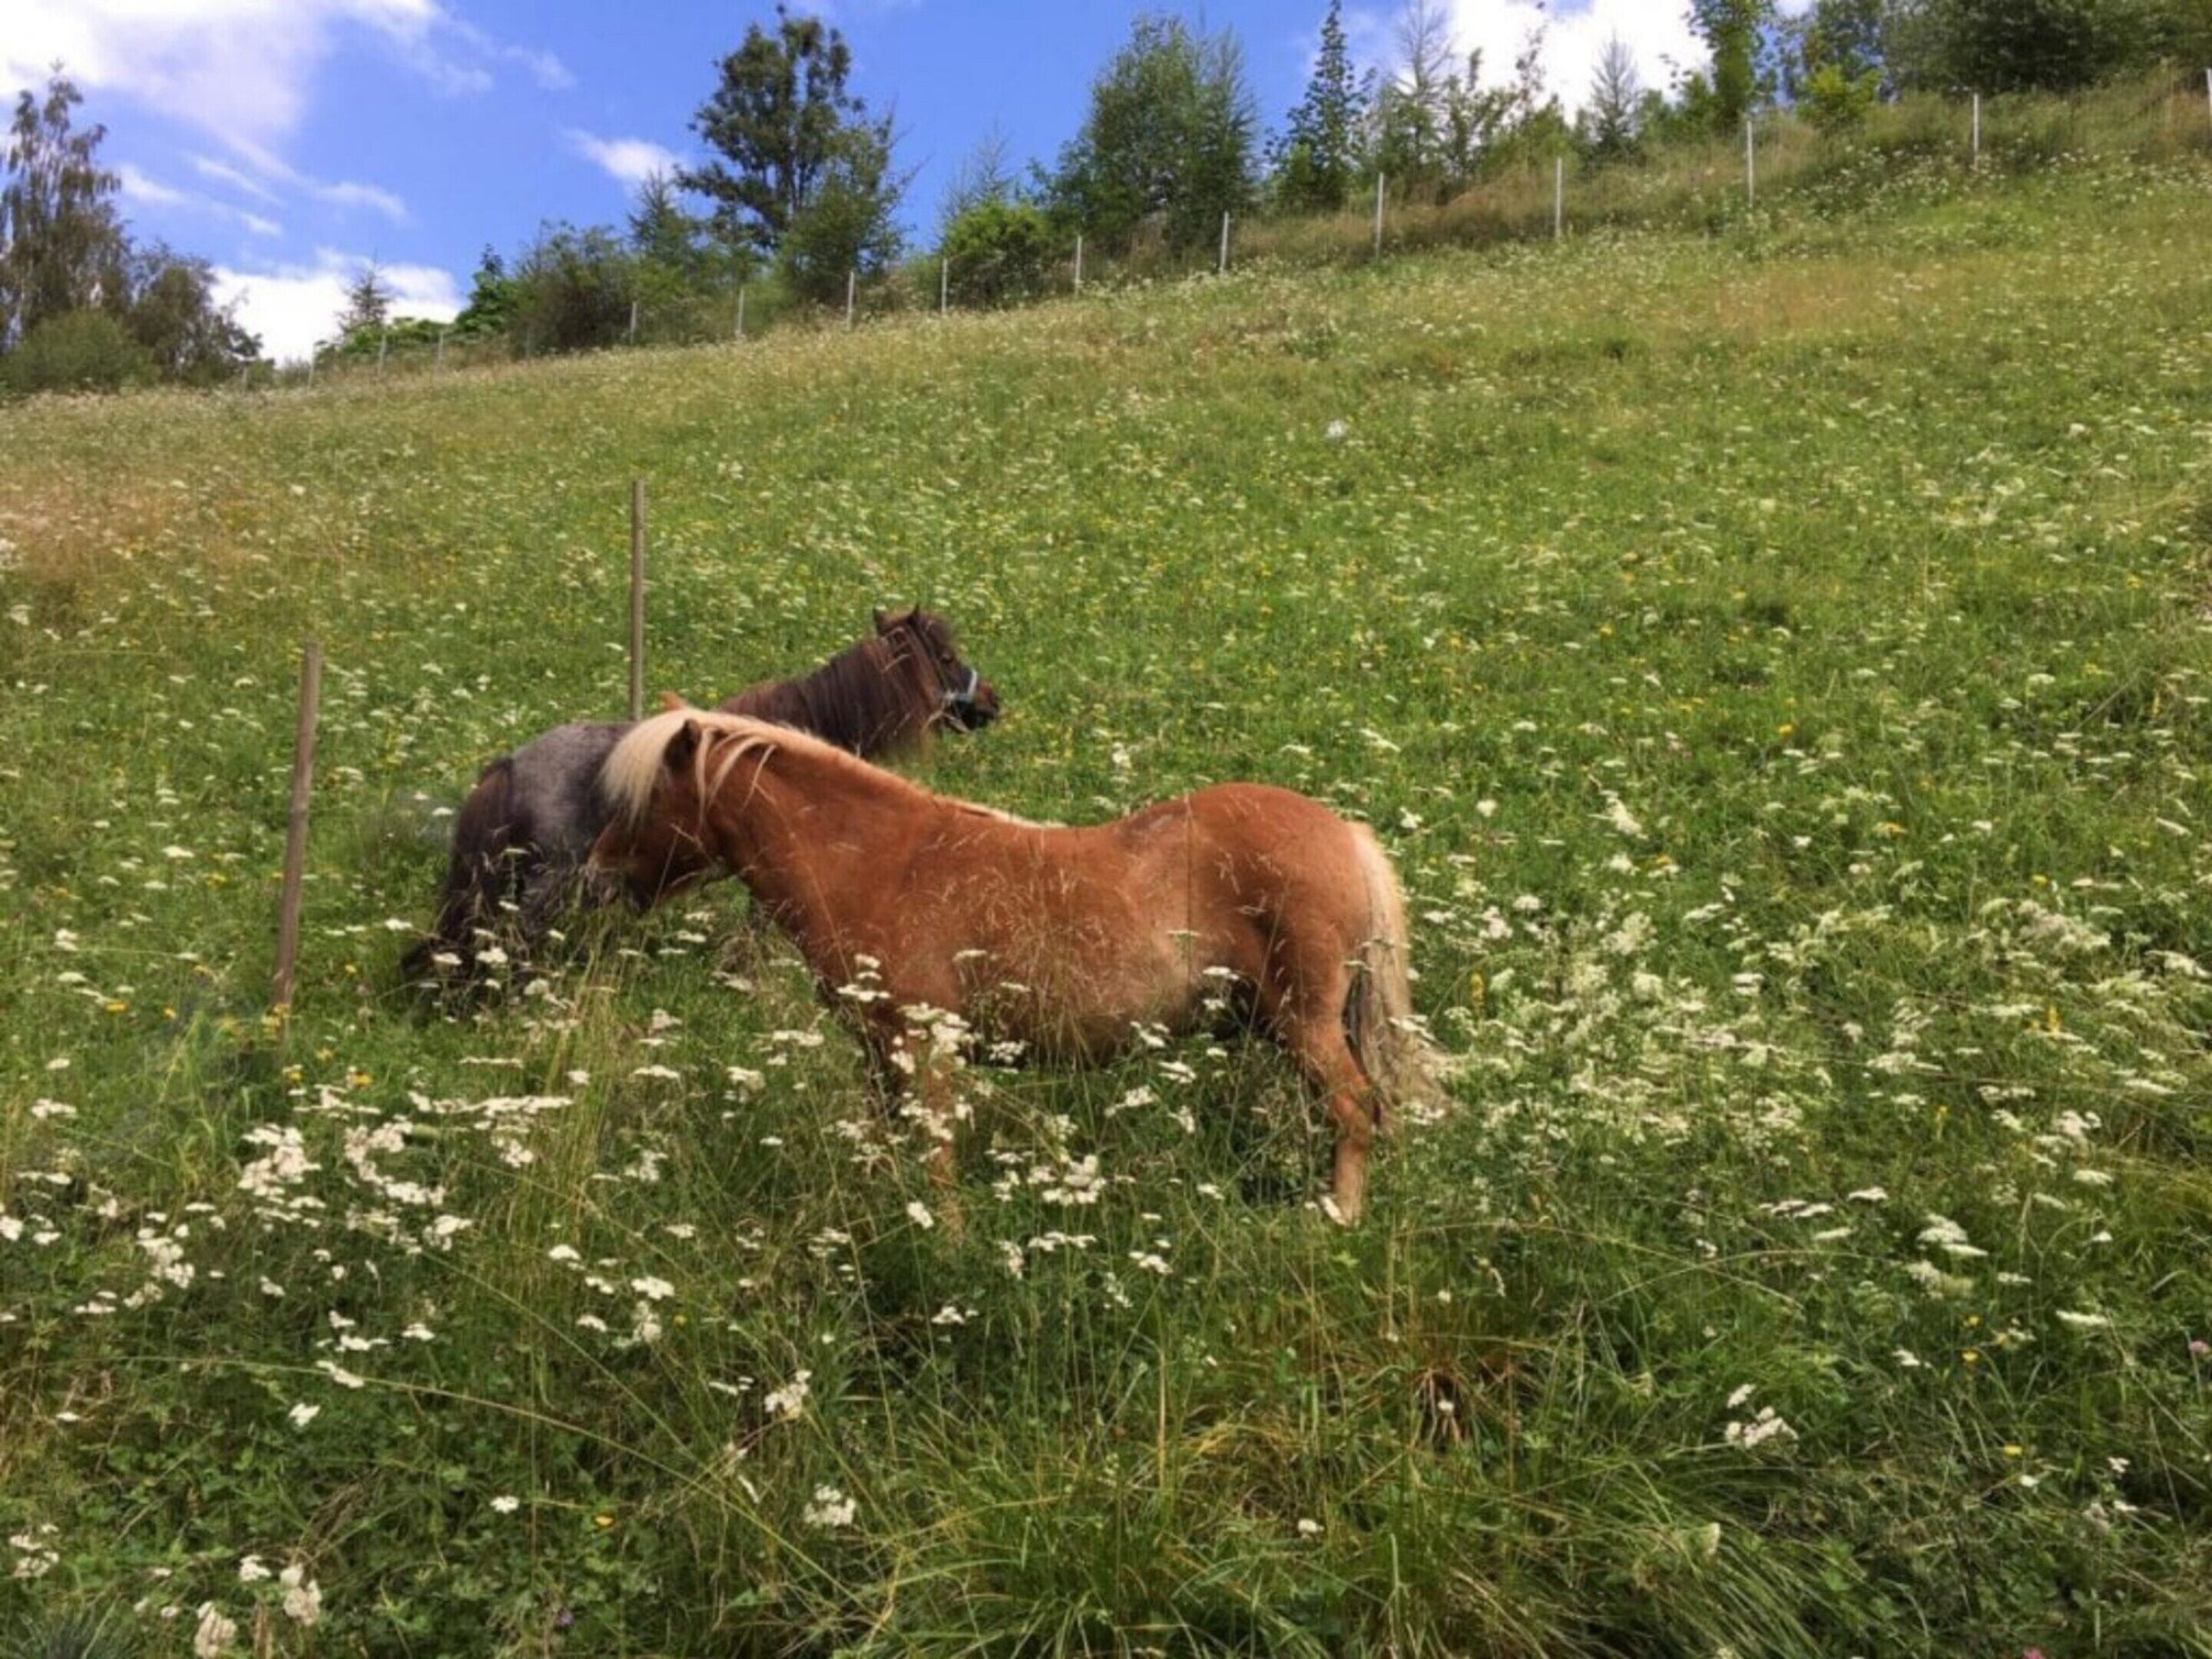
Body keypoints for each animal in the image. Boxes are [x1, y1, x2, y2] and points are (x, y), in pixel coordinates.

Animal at [586, 705, 1441, 1224]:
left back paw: (1336, 1222)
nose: (597, 876)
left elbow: (933, 1161)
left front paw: (945, 1244)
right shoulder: (879, 1055)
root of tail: (1344, 834)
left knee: (1354, 1111)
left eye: (641, 800)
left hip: (1306, 1024)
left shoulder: (922, 1048)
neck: (880, 862)